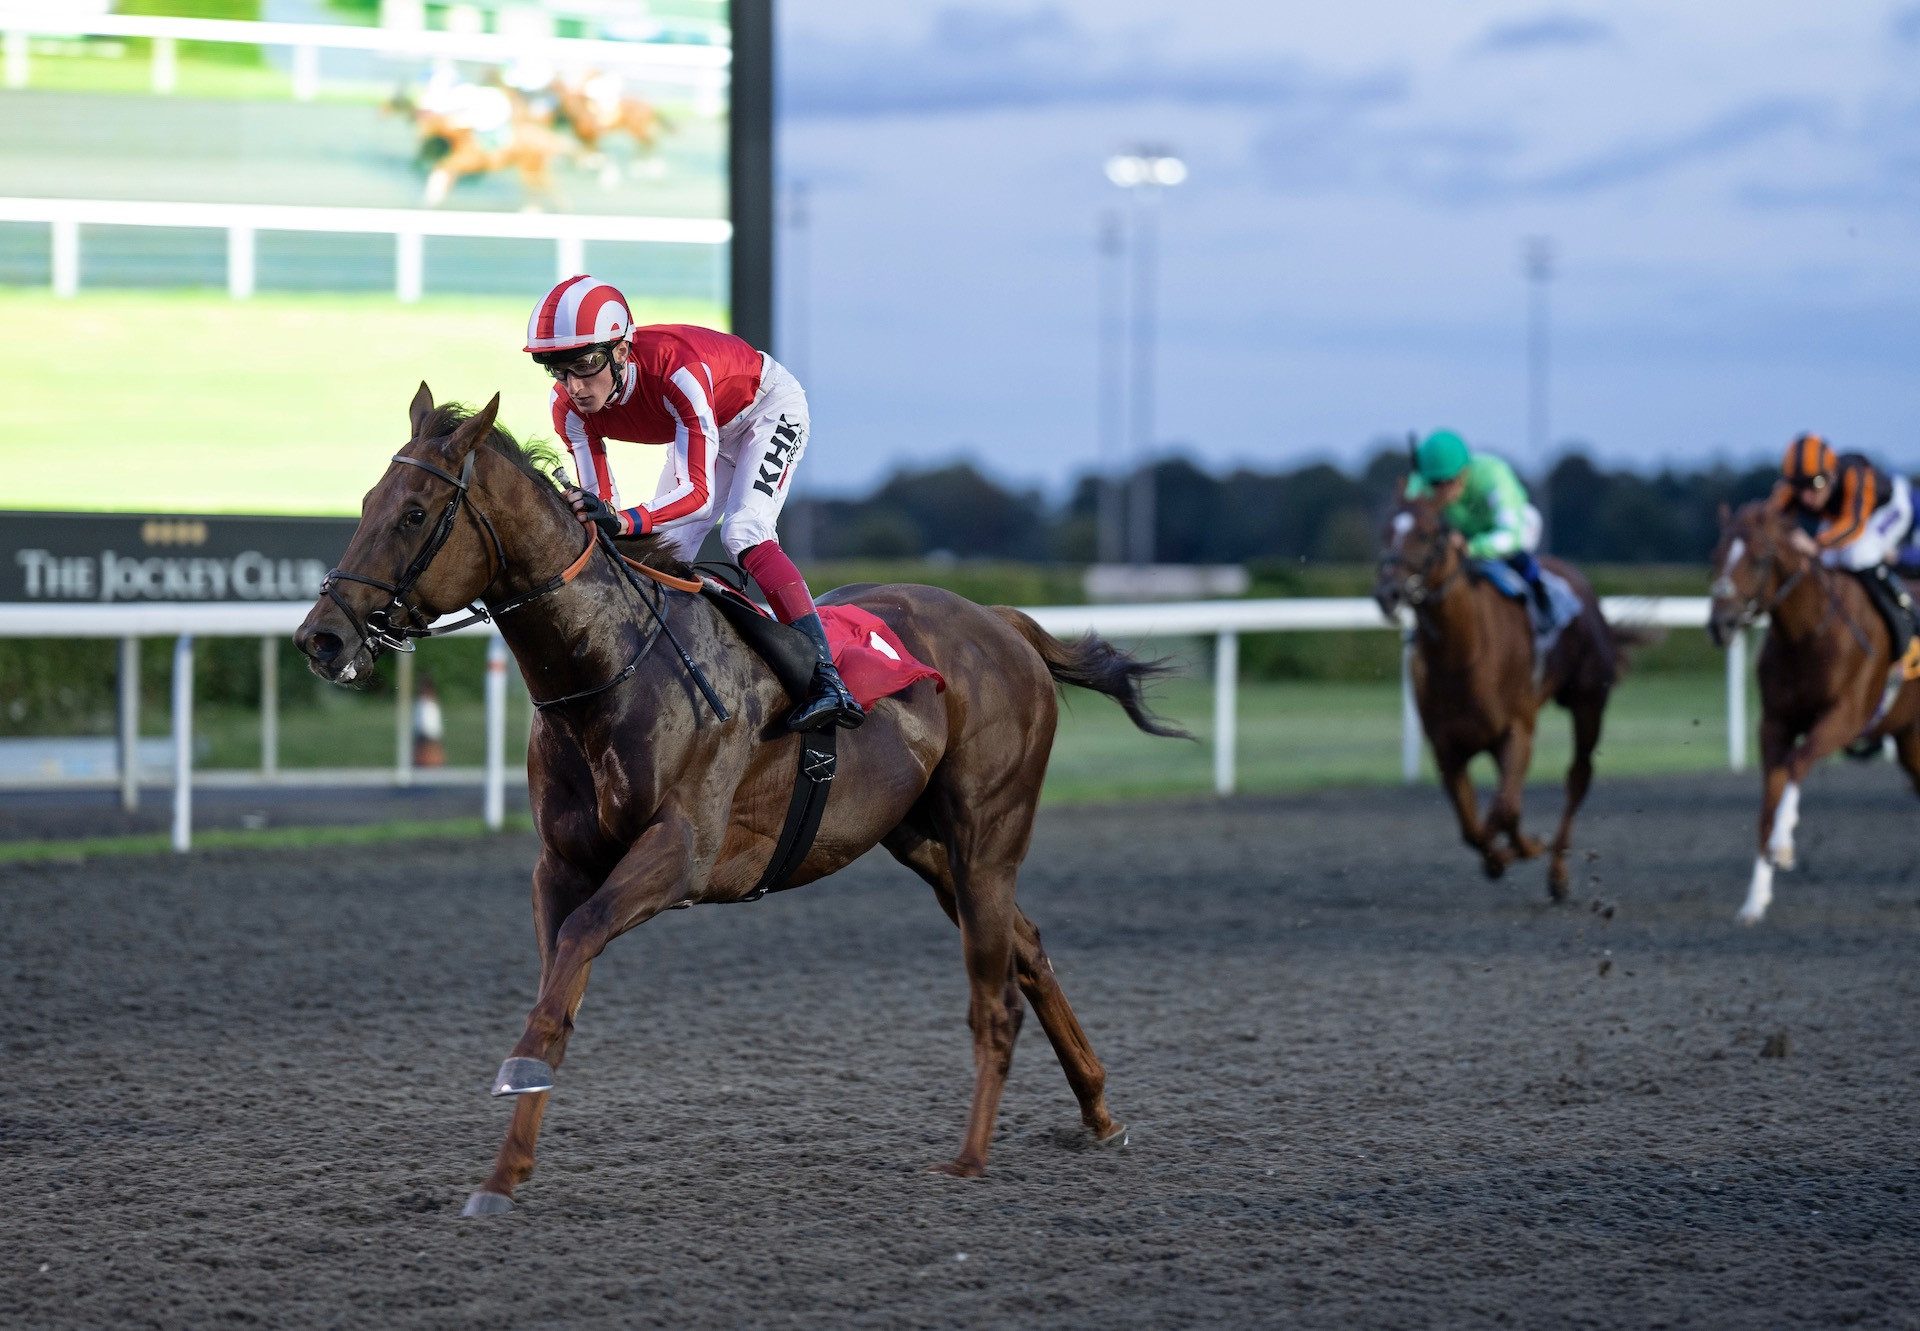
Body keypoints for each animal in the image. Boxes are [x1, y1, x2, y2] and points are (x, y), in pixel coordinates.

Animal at [293, 384, 1182, 1213]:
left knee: (994, 995)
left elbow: (574, 956)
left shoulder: (680, 851)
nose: (320, 637)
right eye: (366, 502)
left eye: (413, 513)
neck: (609, 667)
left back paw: (968, 1157)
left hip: (986, 833)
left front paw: (513, 1106)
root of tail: (1000, 620)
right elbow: (558, 988)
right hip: (925, 842)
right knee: (1028, 949)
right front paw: (503, 1170)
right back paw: (1099, 1111)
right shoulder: (561, 864)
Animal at [1374, 491, 1643, 898]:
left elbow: (1502, 812)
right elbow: (1475, 827)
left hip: (1587, 703)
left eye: (1425, 533)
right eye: (1386, 530)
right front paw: (1503, 855)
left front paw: (1522, 849)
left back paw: (1557, 872)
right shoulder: (1447, 748)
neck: (1462, 657)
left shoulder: (1518, 730)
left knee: (1577, 777)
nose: (1387, 594)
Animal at [1712, 499, 1920, 925]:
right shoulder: (1773, 725)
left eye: (1759, 559)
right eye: (1715, 556)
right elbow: (1767, 802)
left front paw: (1783, 844)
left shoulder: (1845, 717)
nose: (1720, 624)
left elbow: (1799, 762)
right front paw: (1755, 899)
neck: (1808, 636)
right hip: (1910, 737)